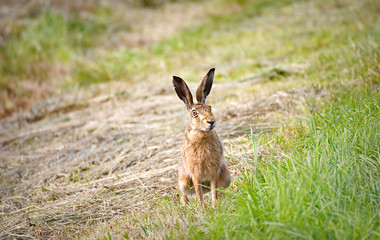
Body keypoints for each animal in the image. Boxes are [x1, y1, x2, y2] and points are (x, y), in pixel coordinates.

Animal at [173, 68, 232, 205]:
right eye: (194, 113)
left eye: (210, 108)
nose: (211, 122)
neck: (201, 133)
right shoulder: (195, 173)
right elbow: (198, 192)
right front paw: (201, 207)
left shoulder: (213, 171)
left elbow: (214, 189)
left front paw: (215, 205)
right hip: (183, 181)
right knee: (184, 193)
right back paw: (185, 205)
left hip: (226, 175)